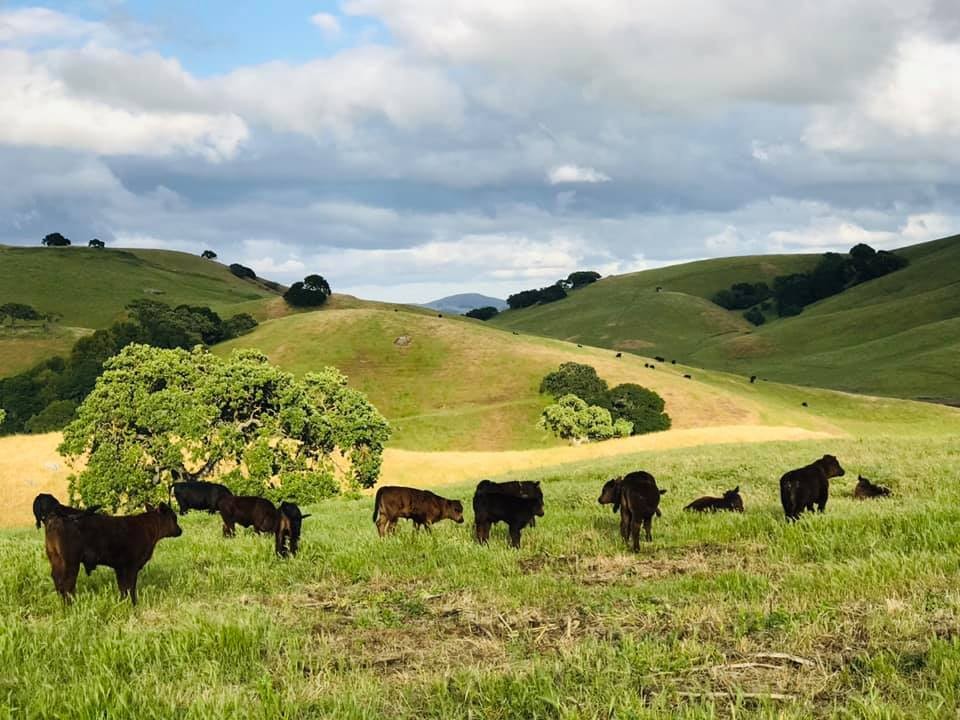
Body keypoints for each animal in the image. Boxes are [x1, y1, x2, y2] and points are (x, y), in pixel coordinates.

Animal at [43, 504, 182, 604]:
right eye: (174, 517)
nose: (180, 530)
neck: (148, 527)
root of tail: (56, 516)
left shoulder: (120, 567)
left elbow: (123, 587)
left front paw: (123, 603)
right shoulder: (131, 565)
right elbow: (130, 586)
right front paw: (133, 604)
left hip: (56, 559)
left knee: (58, 581)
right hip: (71, 562)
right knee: (67, 584)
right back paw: (71, 606)